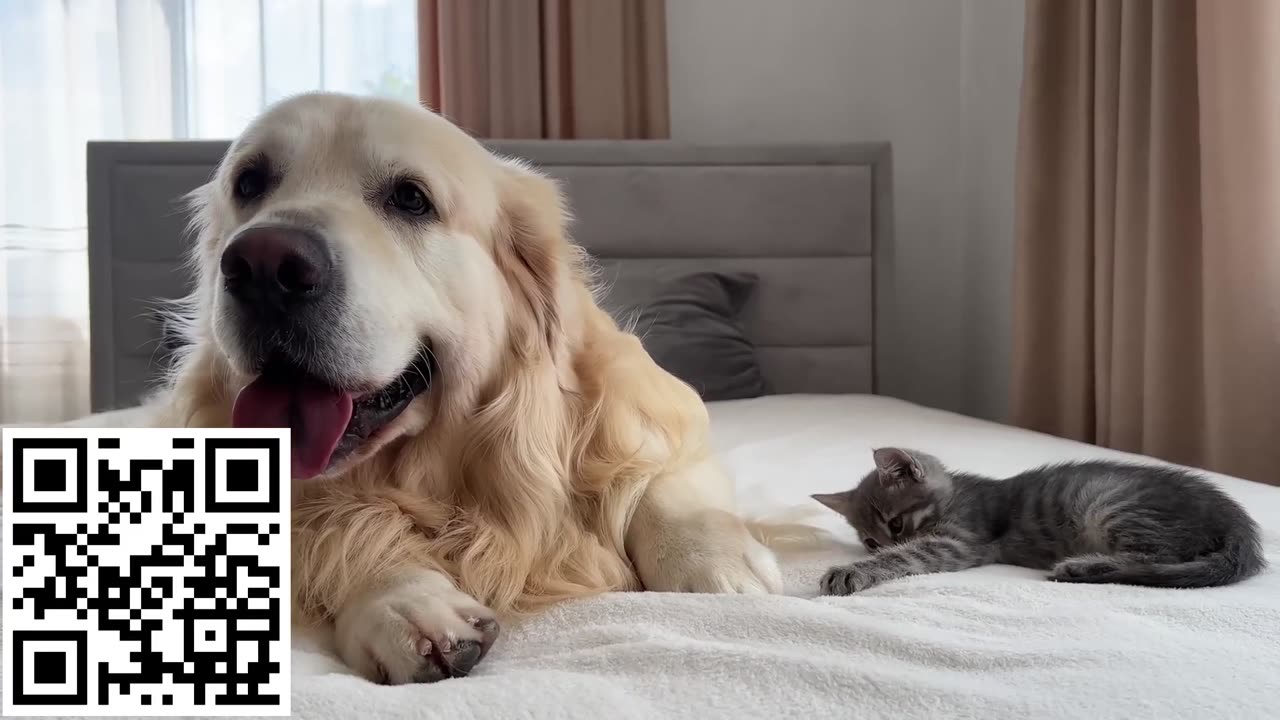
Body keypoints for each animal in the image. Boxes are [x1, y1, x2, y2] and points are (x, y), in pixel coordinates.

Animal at [814, 443, 1264, 594]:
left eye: (895, 525)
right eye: (871, 540)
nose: (884, 543)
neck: (956, 494)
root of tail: (1236, 520)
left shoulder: (962, 540)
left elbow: (911, 556)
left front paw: (852, 572)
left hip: (1111, 503)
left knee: (1158, 560)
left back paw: (1083, 567)